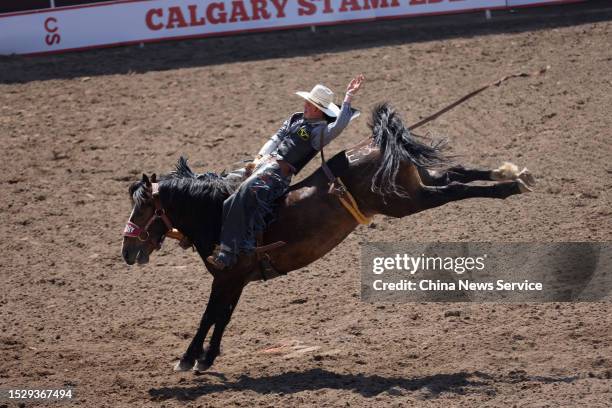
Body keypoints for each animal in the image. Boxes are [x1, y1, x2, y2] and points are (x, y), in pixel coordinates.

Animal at [119, 103, 536, 372]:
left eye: (142, 210)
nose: (126, 251)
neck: (218, 214)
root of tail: (377, 144)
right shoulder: (235, 280)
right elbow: (223, 317)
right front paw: (206, 359)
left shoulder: (226, 276)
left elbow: (210, 315)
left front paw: (187, 359)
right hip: (414, 184)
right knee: (455, 173)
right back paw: (513, 173)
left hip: (406, 202)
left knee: (454, 189)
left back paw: (510, 186)